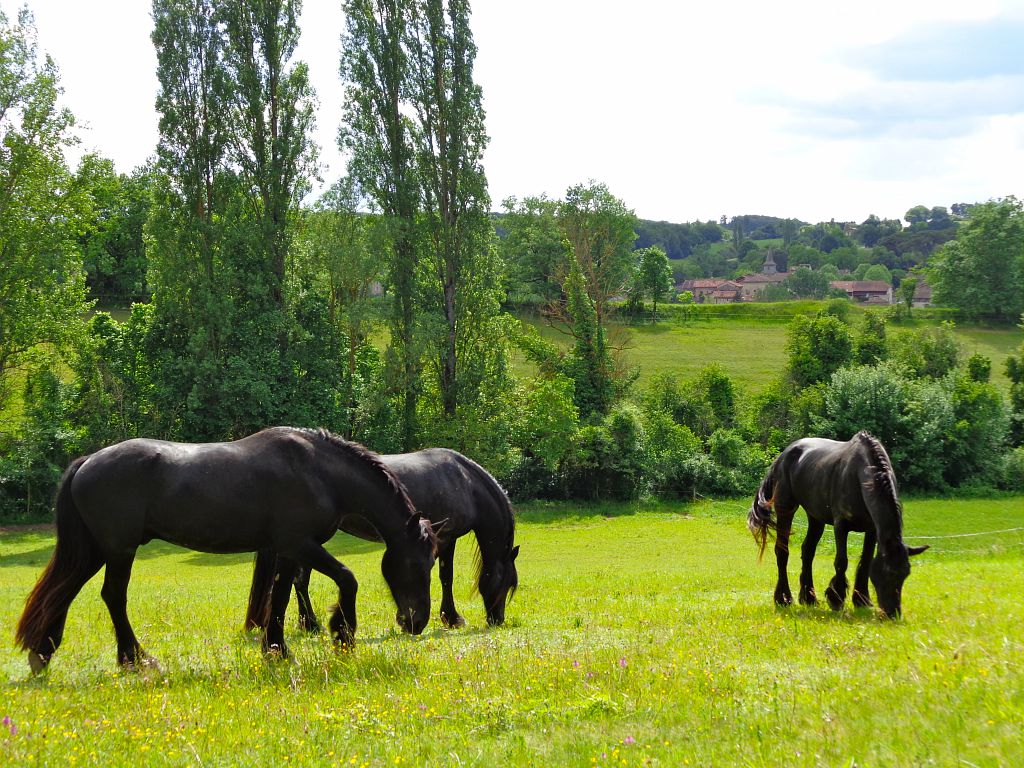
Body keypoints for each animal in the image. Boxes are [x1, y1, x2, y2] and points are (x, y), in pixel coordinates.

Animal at [14, 428, 436, 671]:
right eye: (417, 564)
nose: (416, 623)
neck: (317, 470)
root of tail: (89, 461)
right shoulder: (301, 543)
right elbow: (347, 579)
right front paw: (343, 634)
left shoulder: (288, 549)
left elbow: (280, 596)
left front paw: (276, 648)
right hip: (119, 550)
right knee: (112, 596)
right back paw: (136, 658)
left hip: (95, 550)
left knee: (64, 592)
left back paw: (44, 652)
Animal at [245, 448, 520, 634]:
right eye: (507, 585)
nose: (497, 620)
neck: (464, 482)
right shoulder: (447, 538)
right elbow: (446, 577)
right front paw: (451, 618)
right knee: (300, 581)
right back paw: (311, 625)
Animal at [745, 434, 929, 618]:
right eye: (888, 572)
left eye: (906, 573)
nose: (893, 612)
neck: (859, 476)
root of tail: (783, 455)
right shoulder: (841, 525)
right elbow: (841, 561)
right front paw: (836, 598)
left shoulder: (872, 530)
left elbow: (866, 561)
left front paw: (862, 600)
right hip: (785, 508)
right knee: (782, 552)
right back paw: (783, 598)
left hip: (815, 517)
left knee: (808, 551)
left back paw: (809, 598)